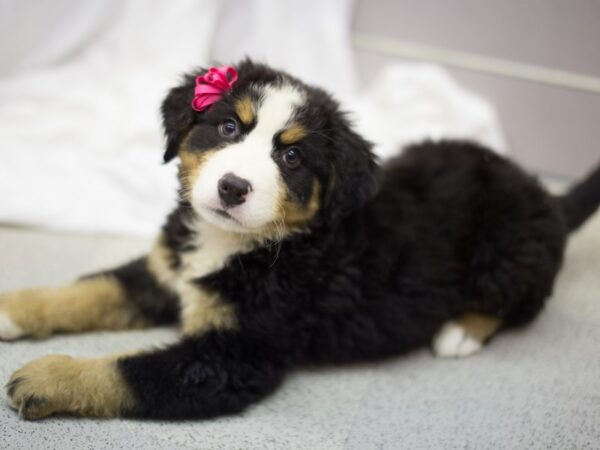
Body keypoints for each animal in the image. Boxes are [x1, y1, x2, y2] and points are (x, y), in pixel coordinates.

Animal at [3, 58, 600, 420]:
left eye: (290, 156)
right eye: (228, 127)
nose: (233, 187)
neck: (239, 244)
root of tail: (544, 195)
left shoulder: (236, 354)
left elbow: (130, 371)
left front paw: (48, 376)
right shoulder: (164, 271)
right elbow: (89, 290)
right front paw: (13, 308)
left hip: (508, 256)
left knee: (520, 303)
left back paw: (459, 332)